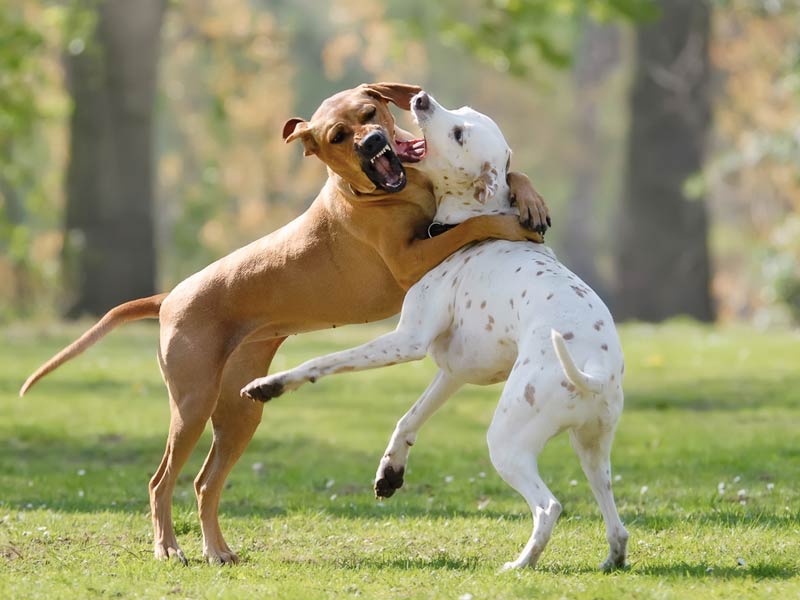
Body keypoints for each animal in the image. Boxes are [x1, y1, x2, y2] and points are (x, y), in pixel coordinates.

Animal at [23, 82, 552, 564]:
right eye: (338, 136)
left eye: (369, 113)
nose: (372, 144)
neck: (396, 190)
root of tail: (170, 296)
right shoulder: (409, 260)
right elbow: (472, 224)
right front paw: (512, 222)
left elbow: (512, 174)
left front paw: (530, 198)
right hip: (192, 405)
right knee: (160, 482)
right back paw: (169, 547)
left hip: (240, 412)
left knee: (204, 483)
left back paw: (217, 550)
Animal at [241, 91, 628, 568]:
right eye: (461, 112)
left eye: (459, 133)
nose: (422, 98)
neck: (469, 223)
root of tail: (596, 372)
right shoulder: (454, 372)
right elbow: (409, 417)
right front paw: (390, 471)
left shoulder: (407, 341)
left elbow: (323, 360)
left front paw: (269, 384)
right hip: (592, 452)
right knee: (616, 519)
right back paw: (612, 558)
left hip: (507, 442)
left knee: (548, 506)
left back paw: (521, 563)